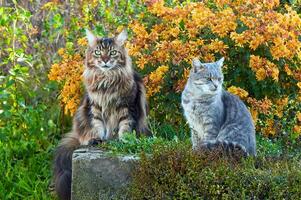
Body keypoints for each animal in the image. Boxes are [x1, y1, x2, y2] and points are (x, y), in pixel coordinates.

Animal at [53, 29, 151, 200]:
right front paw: (97, 139)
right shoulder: (95, 108)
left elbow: (125, 126)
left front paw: (123, 139)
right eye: (98, 52)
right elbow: (98, 126)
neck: (107, 80)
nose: (105, 60)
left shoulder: (128, 107)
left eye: (112, 53)